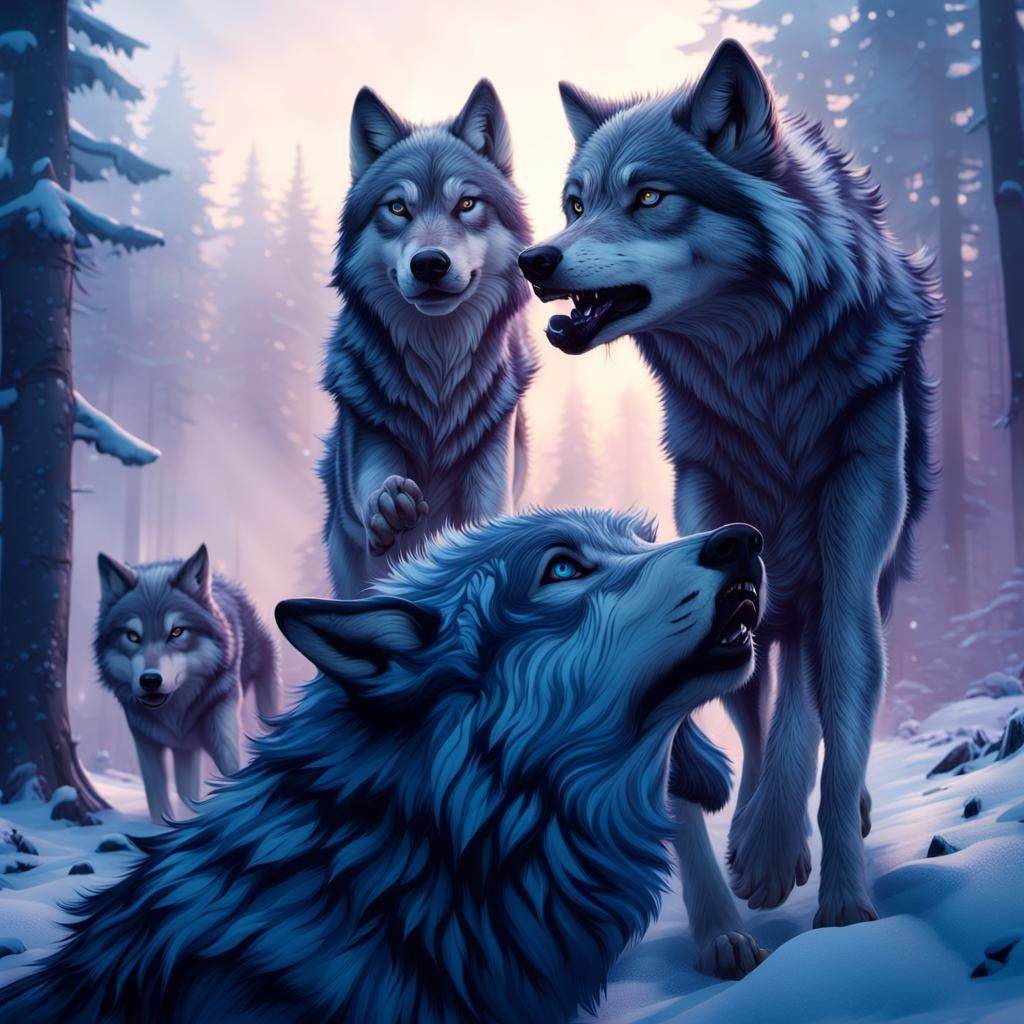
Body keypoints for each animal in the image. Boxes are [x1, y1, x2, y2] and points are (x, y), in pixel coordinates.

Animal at [94, 544, 279, 823]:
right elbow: (158, 802)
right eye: (133, 636)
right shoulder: (146, 743)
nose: (150, 680)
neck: (175, 716)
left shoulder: (222, 724)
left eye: (177, 632)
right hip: (185, 751)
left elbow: (232, 778)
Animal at [321, 79, 537, 599]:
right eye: (398, 207)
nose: (430, 264)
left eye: (467, 204)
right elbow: (375, 492)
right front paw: (390, 506)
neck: (437, 368)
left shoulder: (493, 456)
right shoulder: (367, 431)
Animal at [518, 40, 939, 929]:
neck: (766, 388)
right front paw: (757, 854)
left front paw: (841, 905)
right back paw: (752, 828)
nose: (533, 261)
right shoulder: (716, 529)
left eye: (648, 196)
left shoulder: (842, 575)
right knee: (754, 706)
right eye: (575, 203)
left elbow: (830, 729)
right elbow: (750, 708)